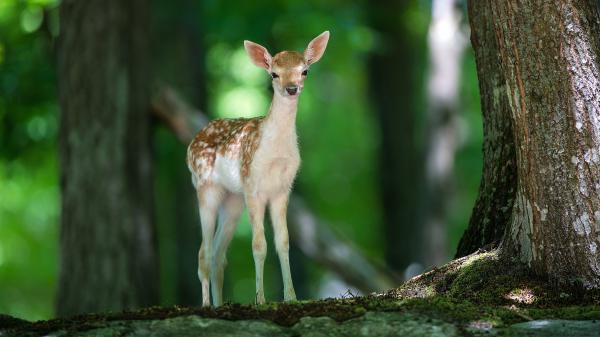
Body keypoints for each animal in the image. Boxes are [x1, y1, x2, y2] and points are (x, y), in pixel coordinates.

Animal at [186, 30, 330, 304]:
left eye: (304, 70)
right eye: (274, 73)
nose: (291, 88)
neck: (275, 154)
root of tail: (192, 143)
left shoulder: (282, 189)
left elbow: (283, 242)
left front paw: (291, 297)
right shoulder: (252, 185)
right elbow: (259, 245)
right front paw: (260, 300)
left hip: (233, 199)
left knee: (218, 255)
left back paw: (219, 305)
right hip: (206, 187)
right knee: (203, 253)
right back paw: (206, 305)